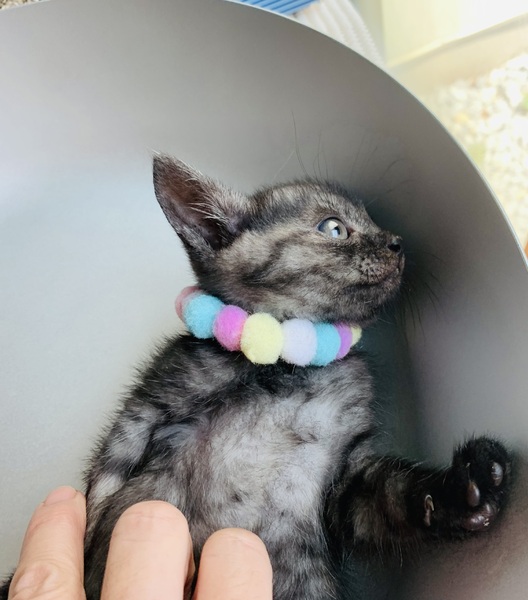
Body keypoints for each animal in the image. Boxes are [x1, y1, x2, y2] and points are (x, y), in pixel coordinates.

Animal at [1, 155, 511, 600]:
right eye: (334, 227)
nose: (396, 242)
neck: (282, 364)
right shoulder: (150, 403)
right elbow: (103, 483)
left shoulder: (346, 481)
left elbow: (389, 495)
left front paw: (462, 488)